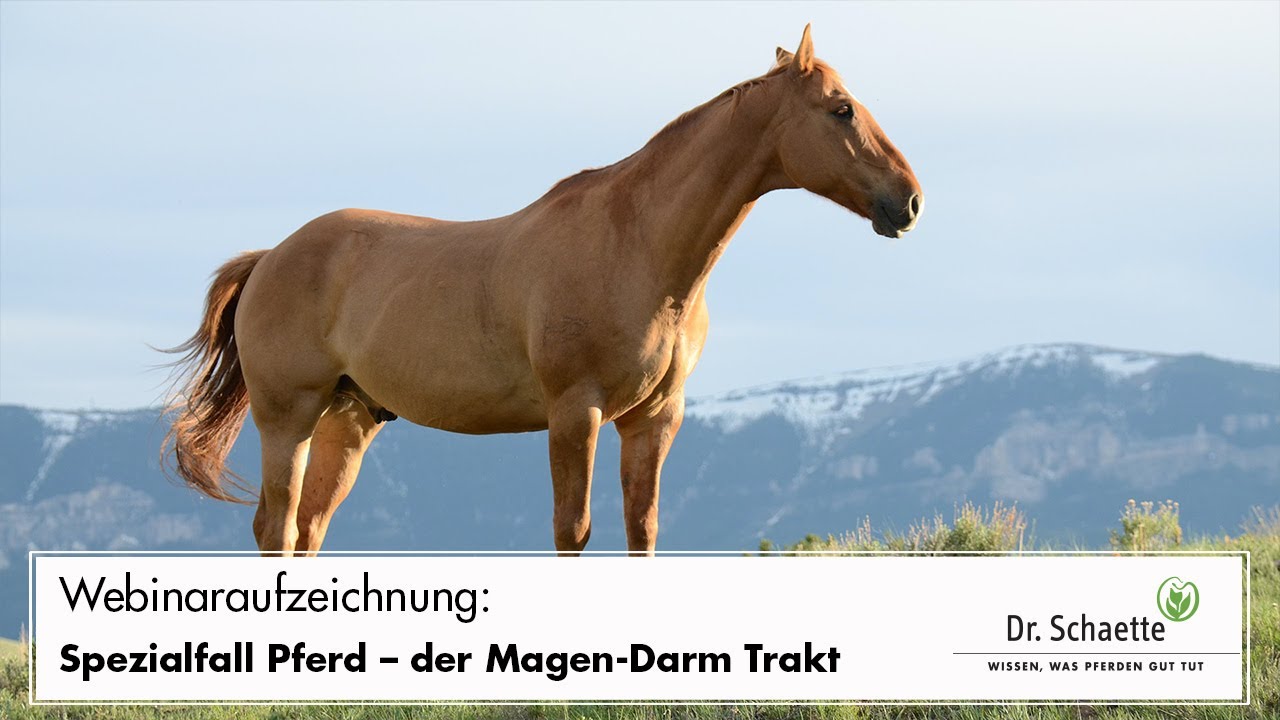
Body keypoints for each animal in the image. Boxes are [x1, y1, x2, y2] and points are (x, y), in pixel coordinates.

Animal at [163, 25, 922, 557]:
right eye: (841, 110)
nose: (909, 200)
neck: (637, 247)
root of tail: (271, 257)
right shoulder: (575, 412)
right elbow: (572, 529)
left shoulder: (655, 418)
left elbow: (642, 528)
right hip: (289, 415)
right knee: (275, 527)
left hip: (349, 420)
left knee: (308, 528)